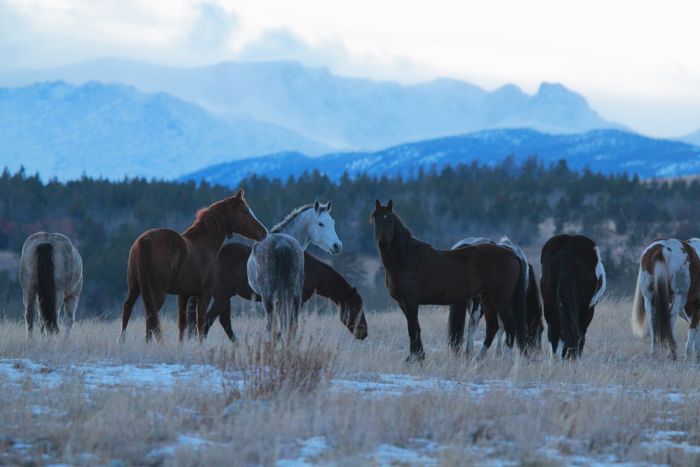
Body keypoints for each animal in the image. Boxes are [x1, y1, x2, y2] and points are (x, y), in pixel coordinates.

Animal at [119, 188, 266, 342]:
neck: (205, 241)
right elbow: (201, 323)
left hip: (135, 286)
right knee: (152, 315)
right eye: (244, 211)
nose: (264, 232)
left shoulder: (184, 295)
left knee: (130, 309)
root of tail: (144, 241)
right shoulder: (205, 293)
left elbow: (182, 325)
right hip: (157, 291)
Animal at [186, 243, 372, 342]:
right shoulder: (296, 300)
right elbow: (288, 324)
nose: (364, 333)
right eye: (356, 308)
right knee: (208, 320)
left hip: (225, 297)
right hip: (221, 296)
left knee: (223, 322)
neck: (310, 270)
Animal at [246, 203, 344, 342]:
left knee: (273, 327)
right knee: (291, 325)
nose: (337, 245)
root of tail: (282, 244)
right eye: (320, 223)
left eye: (332, 222)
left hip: (270, 298)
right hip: (295, 296)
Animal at [372, 199, 524, 360]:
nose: (383, 243)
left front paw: (415, 358)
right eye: (375, 219)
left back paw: (504, 359)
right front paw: (417, 356)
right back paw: (478, 359)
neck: (406, 258)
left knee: (510, 325)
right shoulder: (403, 303)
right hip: (488, 298)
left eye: (390, 220)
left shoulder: (410, 302)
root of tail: (512, 254)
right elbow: (414, 329)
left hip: (500, 298)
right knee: (493, 326)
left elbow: (413, 329)